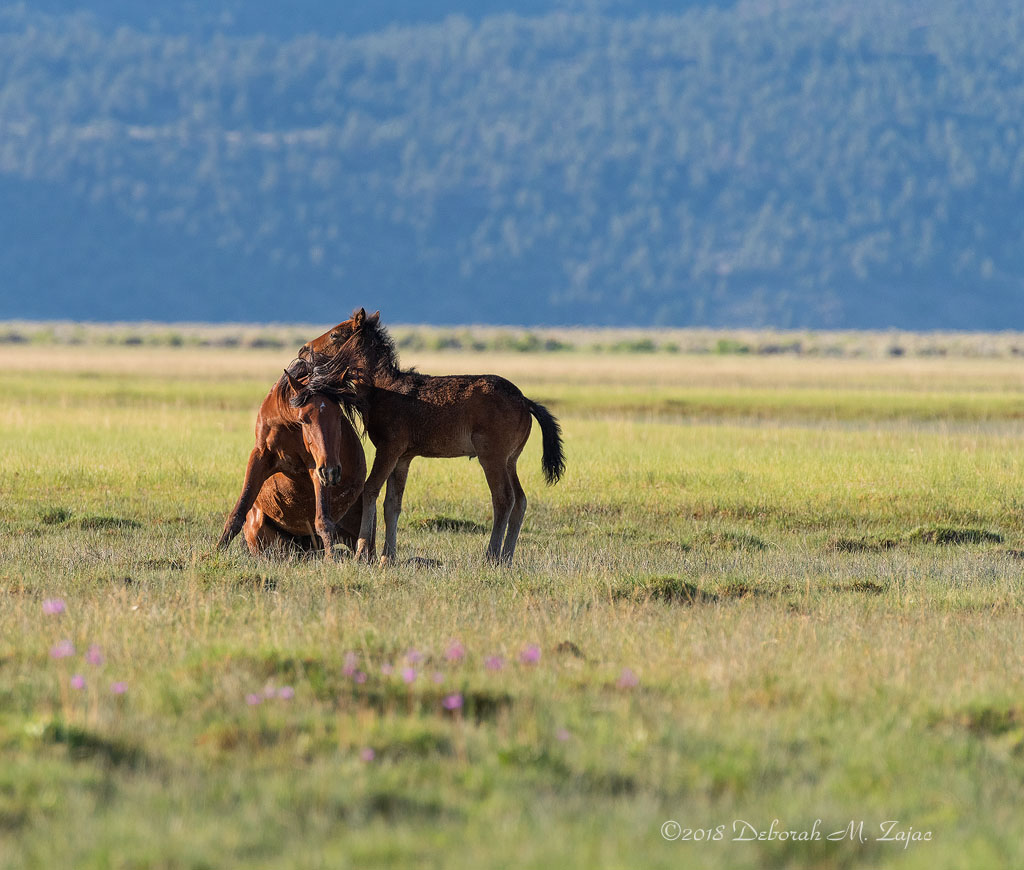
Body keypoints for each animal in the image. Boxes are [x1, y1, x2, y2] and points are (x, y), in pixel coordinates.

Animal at [217, 354, 368, 560]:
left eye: (338, 415)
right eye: (304, 418)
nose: (332, 471)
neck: (288, 425)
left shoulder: (316, 467)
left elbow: (323, 521)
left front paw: (331, 560)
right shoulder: (259, 457)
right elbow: (238, 511)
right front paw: (215, 551)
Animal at [301, 308, 565, 565]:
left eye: (335, 334)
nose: (304, 349)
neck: (382, 388)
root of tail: (525, 401)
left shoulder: (388, 449)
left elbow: (370, 490)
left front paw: (362, 551)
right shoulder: (403, 458)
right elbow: (392, 504)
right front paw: (388, 556)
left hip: (493, 458)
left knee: (504, 499)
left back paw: (492, 556)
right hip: (511, 460)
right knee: (520, 500)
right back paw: (508, 556)